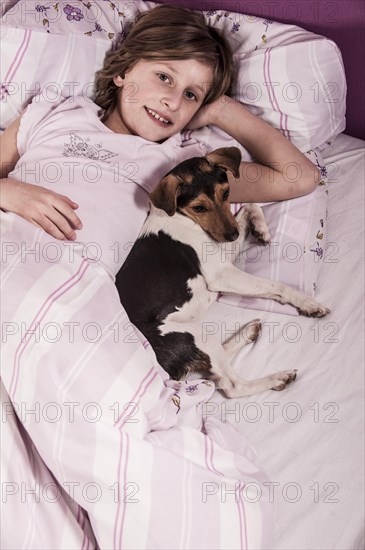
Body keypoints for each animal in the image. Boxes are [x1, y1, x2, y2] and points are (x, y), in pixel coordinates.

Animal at [115, 147, 328, 396]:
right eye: (199, 207)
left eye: (226, 193)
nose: (233, 235)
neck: (180, 214)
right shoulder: (221, 273)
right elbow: (276, 286)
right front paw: (308, 303)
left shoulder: (225, 251)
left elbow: (250, 206)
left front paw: (261, 229)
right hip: (192, 334)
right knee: (231, 385)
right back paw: (276, 378)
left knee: (214, 369)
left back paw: (248, 333)